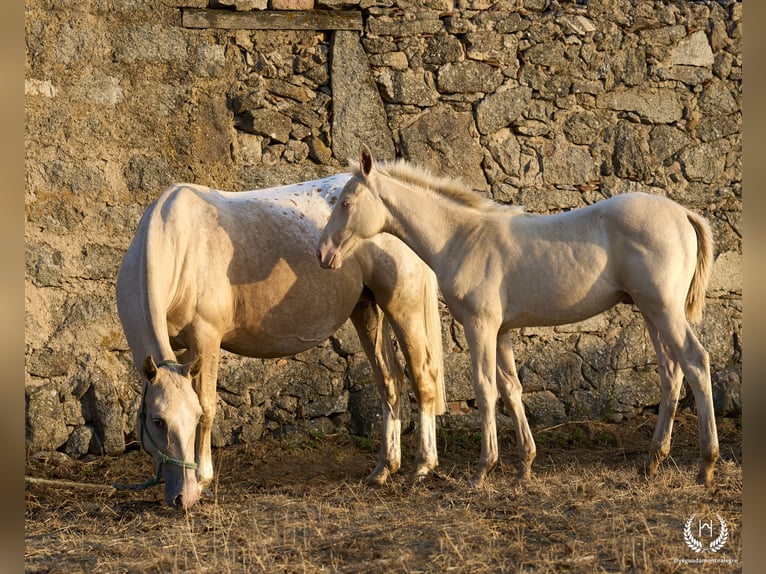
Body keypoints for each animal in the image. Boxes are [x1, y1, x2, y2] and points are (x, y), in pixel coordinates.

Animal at [318, 147, 720, 490]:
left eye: (346, 203)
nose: (323, 254)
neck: (462, 238)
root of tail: (684, 214)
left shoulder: (479, 326)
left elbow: (485, 389)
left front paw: (482, 470)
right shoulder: (501, 331)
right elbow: (511, 389)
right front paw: (524, 466)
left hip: (664, 309)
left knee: (695, 362)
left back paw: (705, 465)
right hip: (650, 311)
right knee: (671, 373)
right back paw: (652, 462)